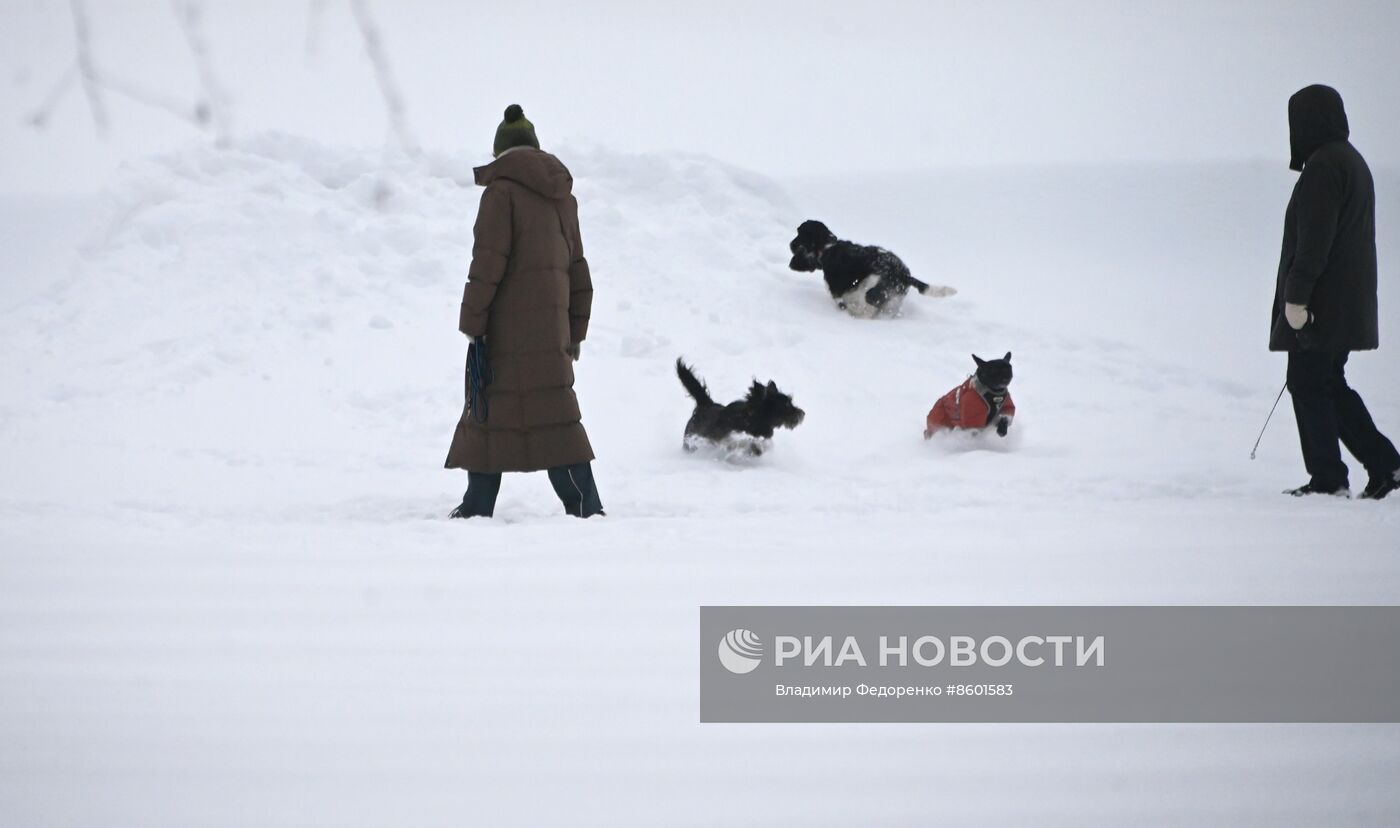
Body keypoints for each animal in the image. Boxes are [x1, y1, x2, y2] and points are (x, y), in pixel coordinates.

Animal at [674, 358, 806, 459]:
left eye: (790, 401)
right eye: (786, 405)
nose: (802, 413)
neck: (754, 417)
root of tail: (705, 404)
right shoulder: (730, 437)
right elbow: (742, 442)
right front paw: (753, 448)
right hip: (691, 439)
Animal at [789, 219, 952, 318]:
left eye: (799, 234)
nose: (790, 244)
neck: (828, 248)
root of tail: (903, 274)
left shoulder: (838, 294)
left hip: (871, 291)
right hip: (893, 299)